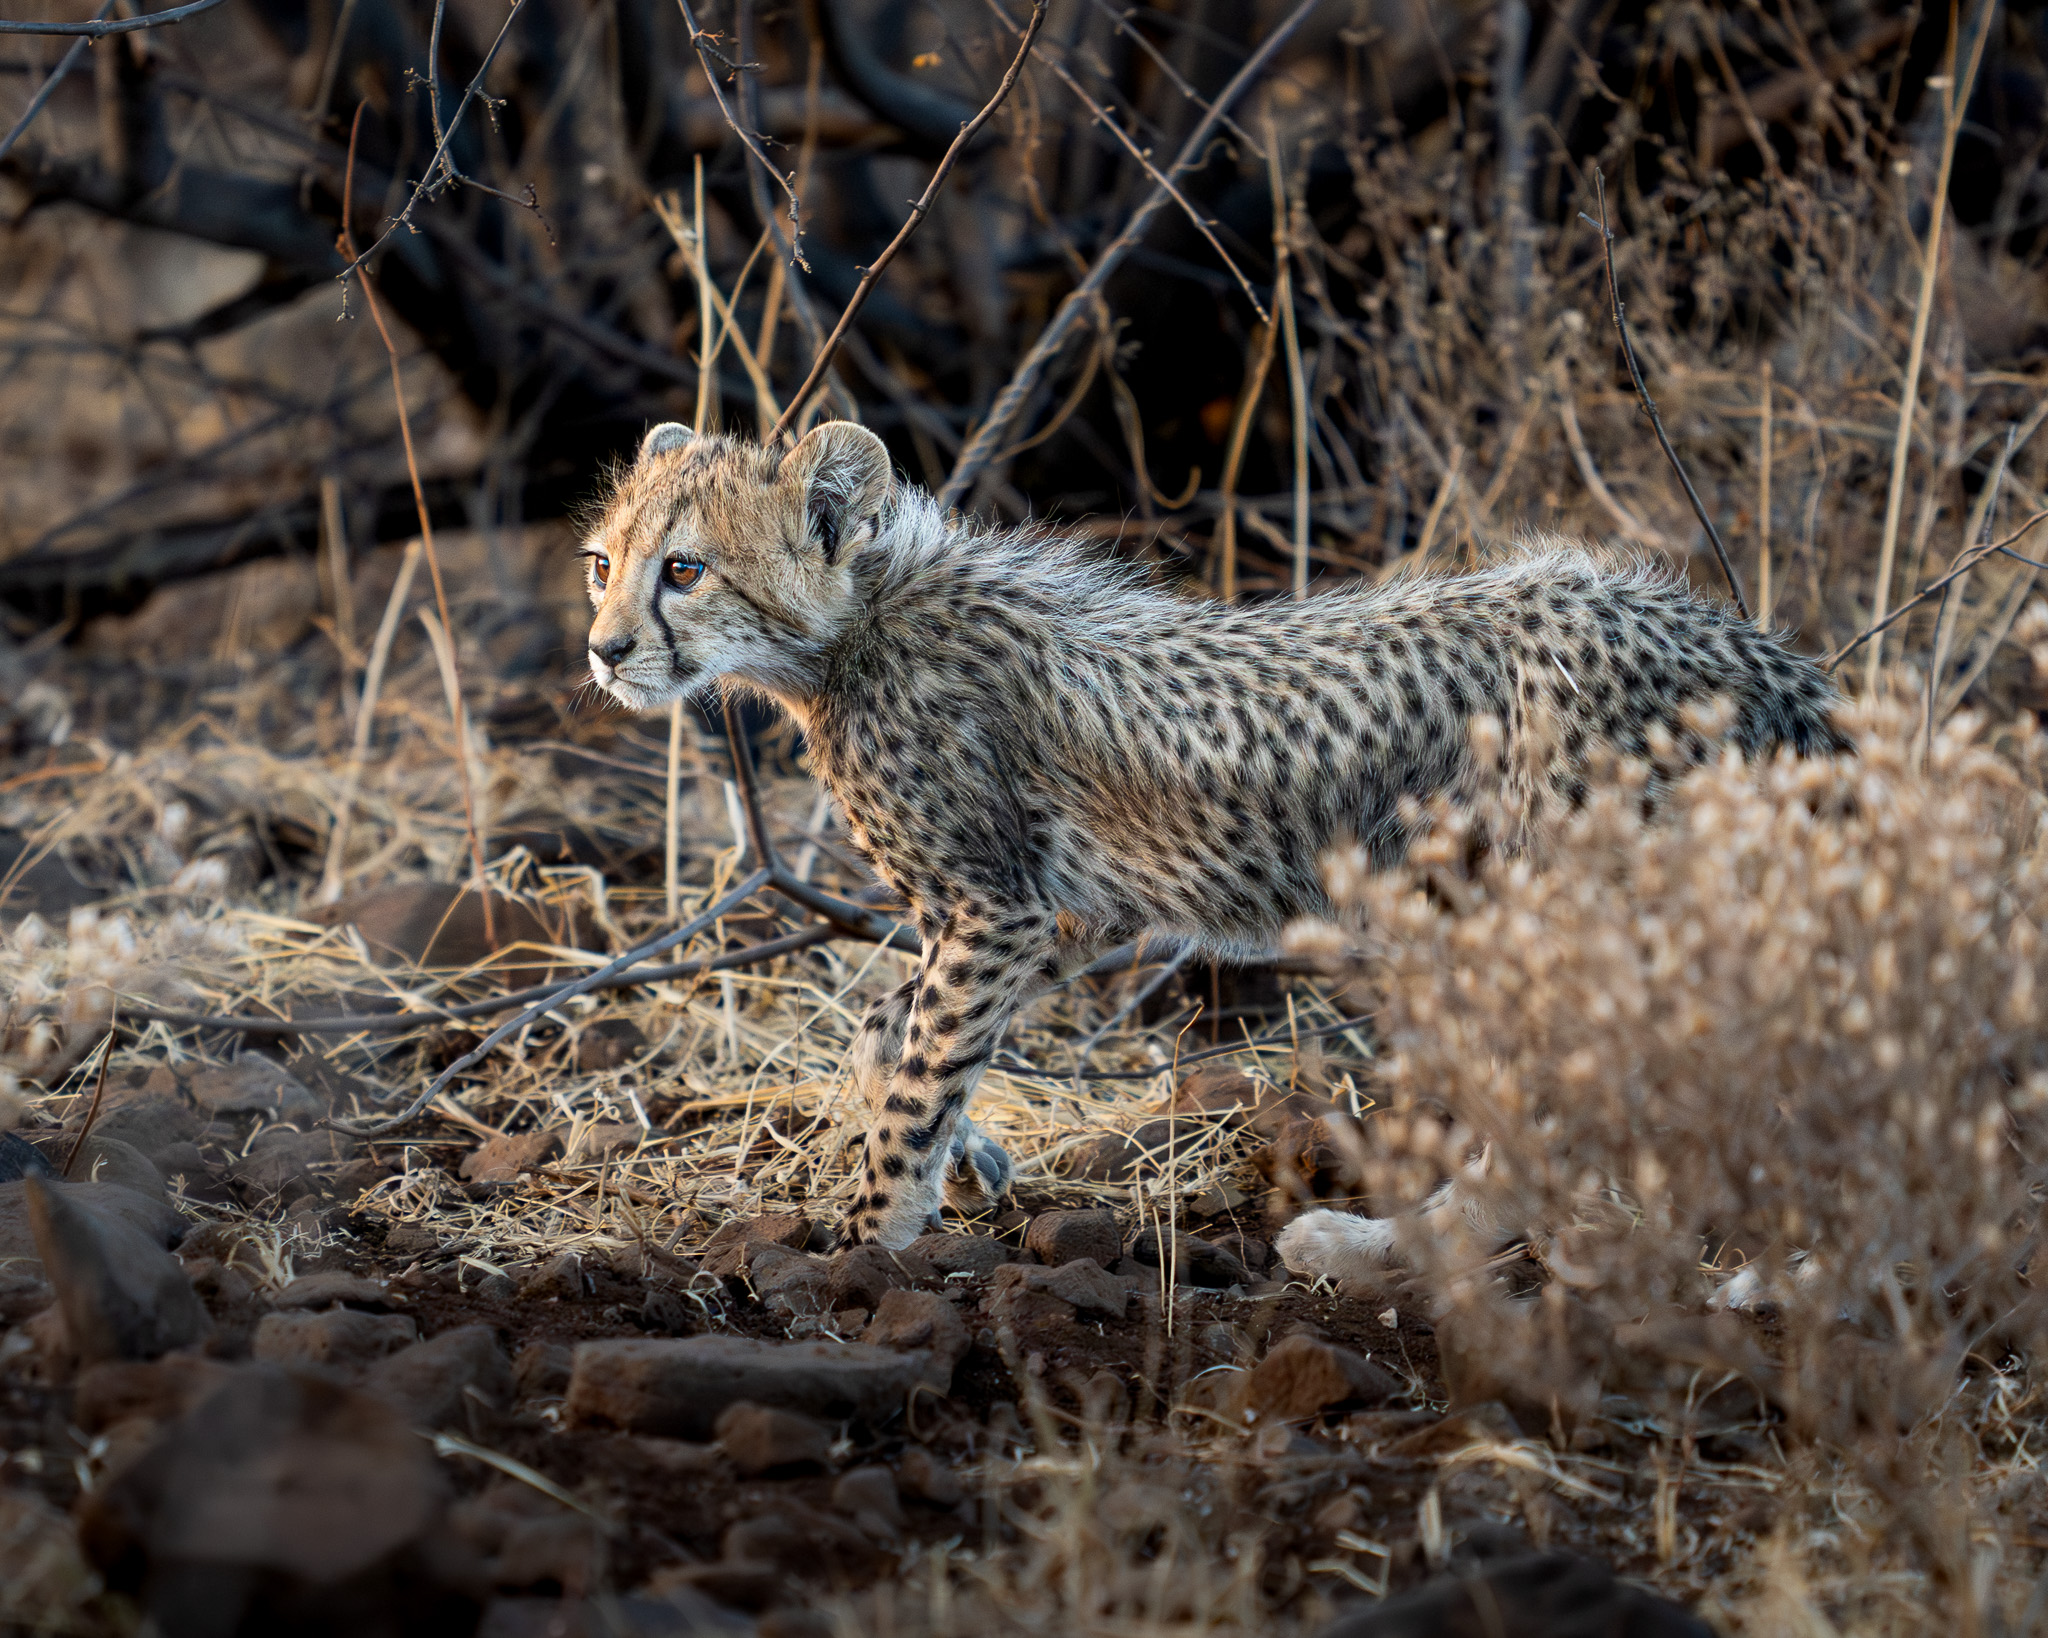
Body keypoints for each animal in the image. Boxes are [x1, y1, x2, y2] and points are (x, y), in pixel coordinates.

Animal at [582, 419, 1847, 1252]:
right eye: (603, 563)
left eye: (683, 570)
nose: (600, 649)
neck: (857, 622)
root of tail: (1728, 632)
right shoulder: (1060, 907)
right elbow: (888, 1030)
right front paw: (967, 1164)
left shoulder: (995, 906)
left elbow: (920, 1064)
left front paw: (874, 1230)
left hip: (1560, 907)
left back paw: (1385, 1248)